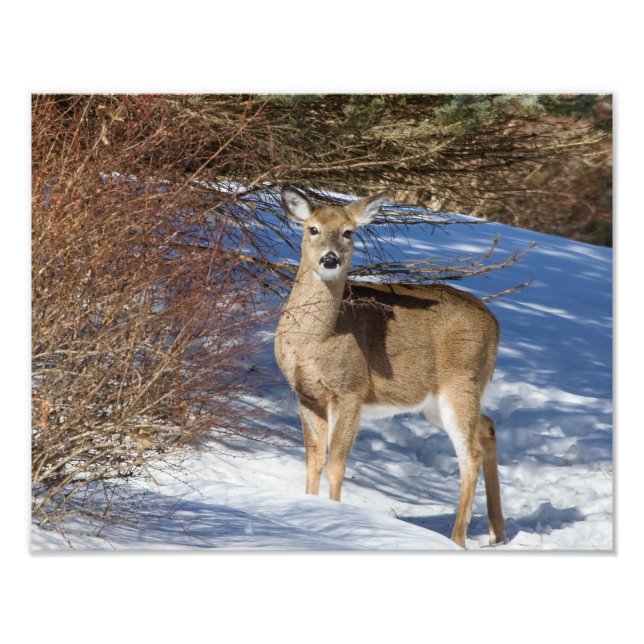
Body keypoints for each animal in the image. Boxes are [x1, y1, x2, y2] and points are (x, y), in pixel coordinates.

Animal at [274, 187, 505, 547]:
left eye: (348, 232)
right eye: (312, 228)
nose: (330, 259)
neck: (316, 340)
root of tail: (495, 323)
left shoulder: (351, 390)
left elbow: (337, 463)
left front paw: (336, 516)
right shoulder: (306, 394)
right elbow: (313, 460)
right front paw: (309, 508)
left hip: (460, 382)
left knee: (470, 455)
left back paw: (456, 540)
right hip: (437, 401)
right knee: (488, 426)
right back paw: (497, 533)